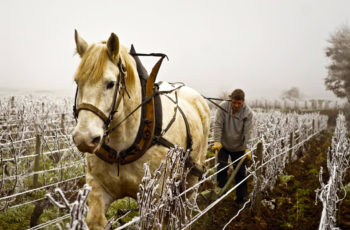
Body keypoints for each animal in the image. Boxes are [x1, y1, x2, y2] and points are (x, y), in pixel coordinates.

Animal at [69, 31, 209, 230]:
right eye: (77, 81)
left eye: (110, 83)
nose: (83, 138)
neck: (121, 150)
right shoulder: (98, 188)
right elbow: (95, 220)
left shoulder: (154, 199)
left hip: (192, 175)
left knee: (186, 210)